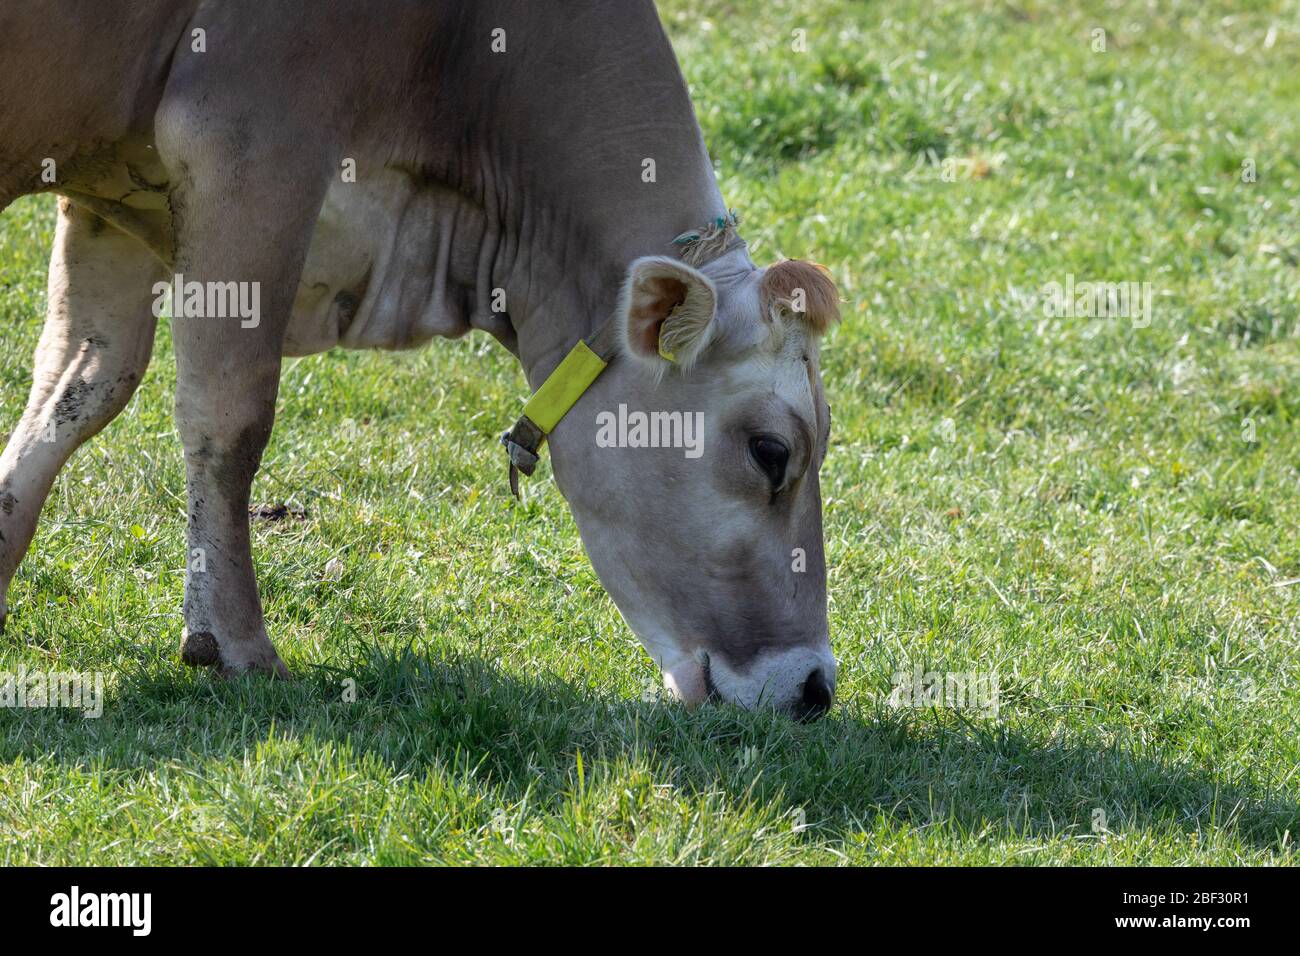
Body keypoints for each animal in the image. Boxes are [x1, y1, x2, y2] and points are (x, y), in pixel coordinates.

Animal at [0, 0, 842, 717]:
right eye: (771, 453)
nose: (814, 688)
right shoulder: (248, 149)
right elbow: (229, 418)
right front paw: (236, 643)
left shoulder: (117, 193)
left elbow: (76, 388)